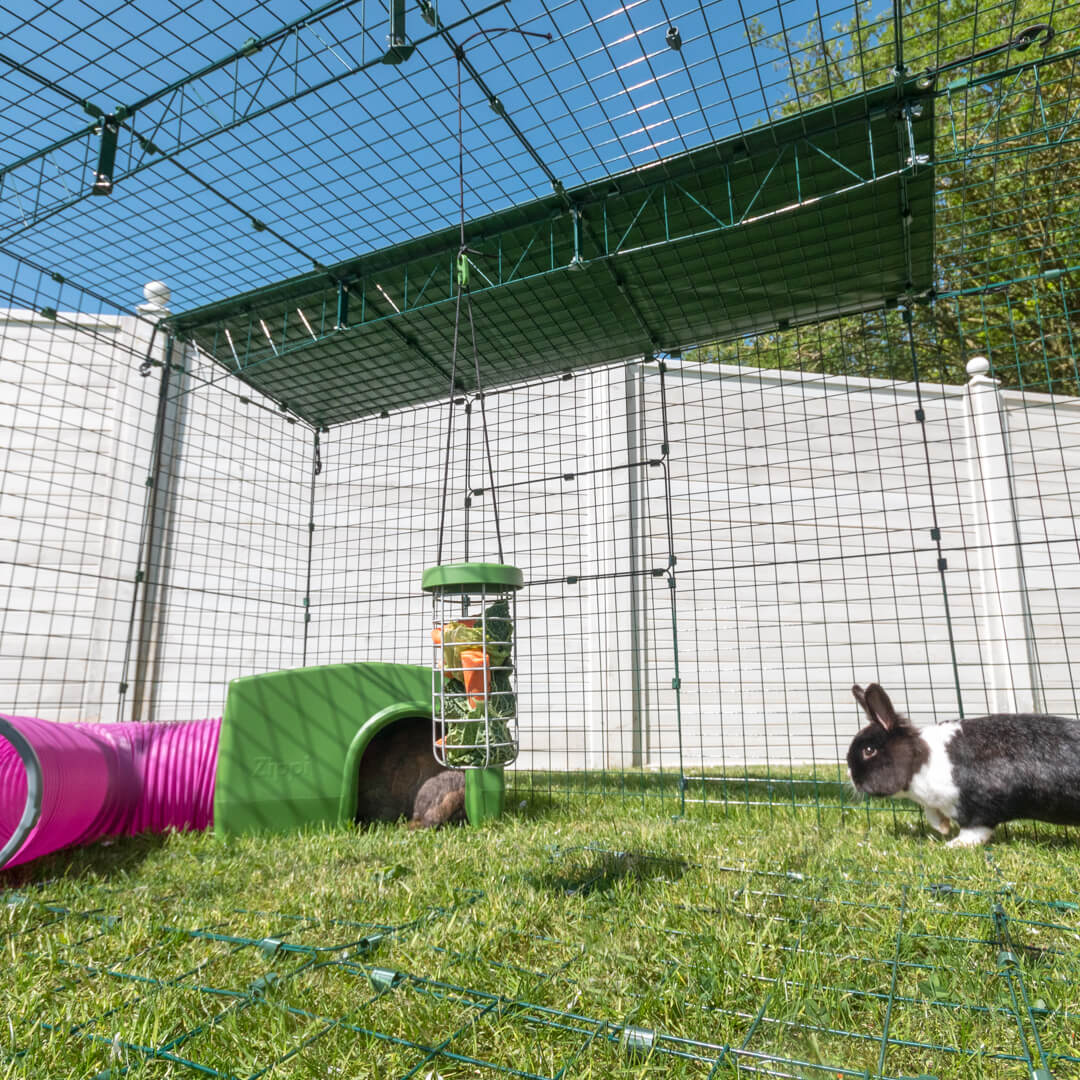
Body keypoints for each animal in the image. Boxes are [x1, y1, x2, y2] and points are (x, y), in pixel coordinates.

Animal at [847, 683, 1080, 846]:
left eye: (869, 750)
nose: (850, 776)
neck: (920, 760)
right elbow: (932, 814)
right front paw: (942, 828)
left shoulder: (976, 808)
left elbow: (975, 832)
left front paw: (950, 846)